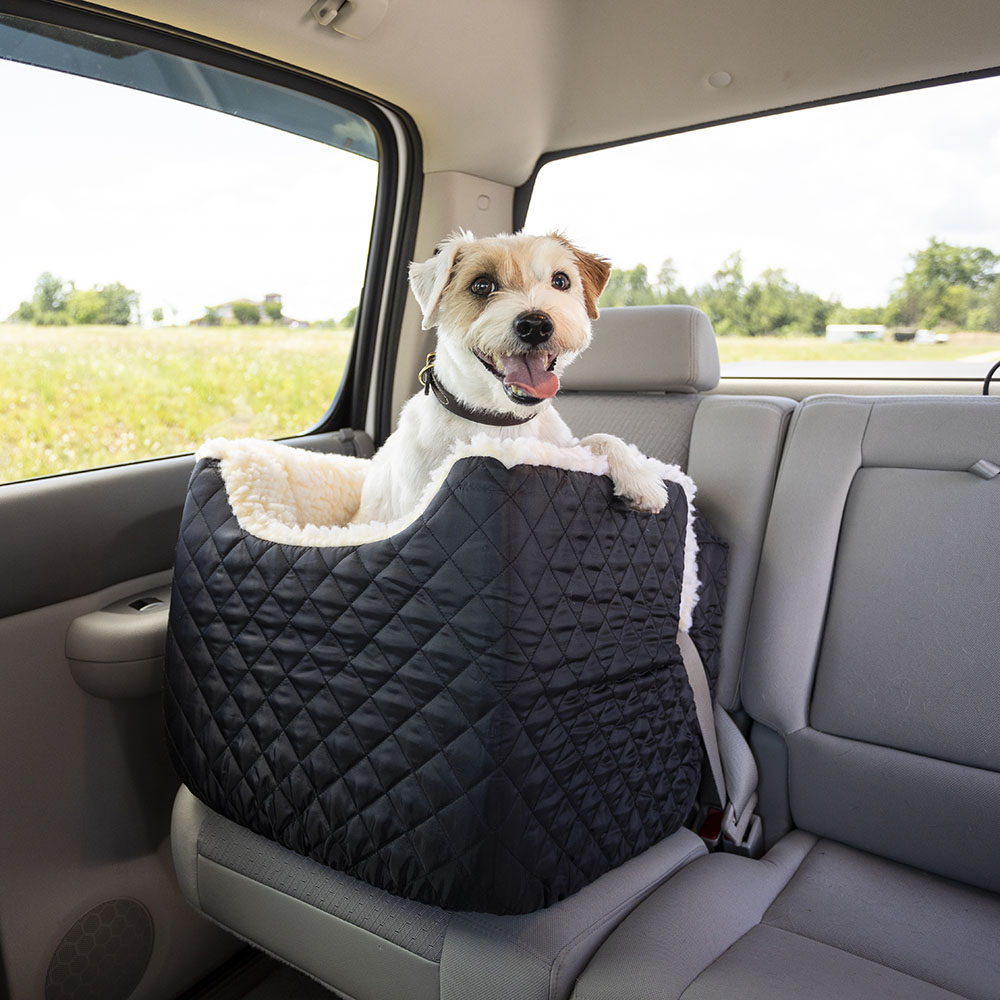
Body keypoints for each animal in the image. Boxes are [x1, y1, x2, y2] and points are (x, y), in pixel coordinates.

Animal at [352, 229, 672, 524]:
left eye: (561, 281)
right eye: (482, 285)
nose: (536, 324)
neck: (501, 419)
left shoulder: (563, 450)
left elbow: (603, 438)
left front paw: (640, 478)